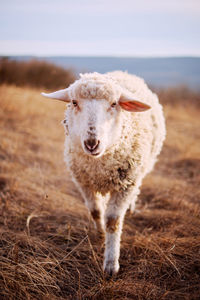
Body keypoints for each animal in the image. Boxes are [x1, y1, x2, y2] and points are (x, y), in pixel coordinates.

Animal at [41, 71, 166, 276]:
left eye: (114, 103)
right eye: (74, 102)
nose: (92, 143)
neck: (98, 166)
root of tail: (124, 73)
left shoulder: (126, 184)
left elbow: (113, 221)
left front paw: (111, 263)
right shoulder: (83, 182)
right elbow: (95, 211)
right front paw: (100, 235)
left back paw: (131, 208)